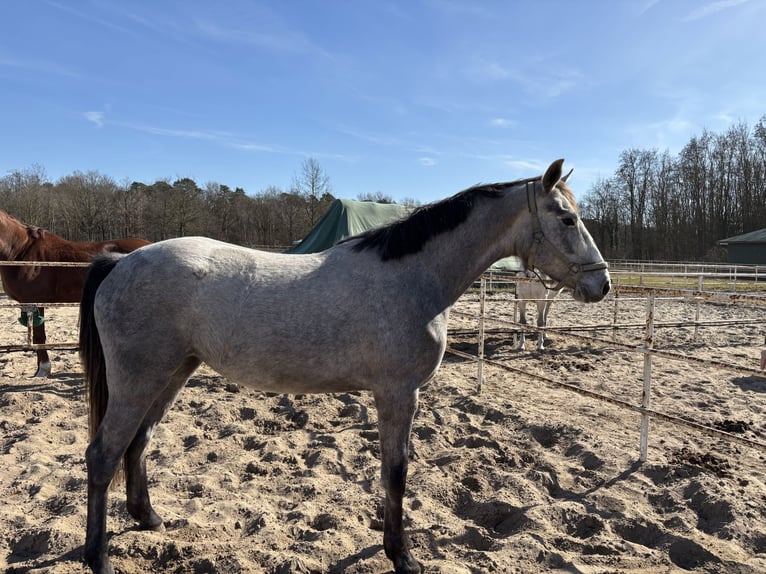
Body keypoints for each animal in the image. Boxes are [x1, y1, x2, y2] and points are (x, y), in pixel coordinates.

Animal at [78, 159, 610, 574]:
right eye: (566, 219)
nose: (601, 284)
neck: (412, 277)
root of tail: (120, 262)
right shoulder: (398, 393)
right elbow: (395, 472)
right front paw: (402, 556)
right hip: (138, 380)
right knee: (103, 455)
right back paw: (98, 557)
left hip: (171, 375)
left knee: (138, 444)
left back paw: (148, 519)